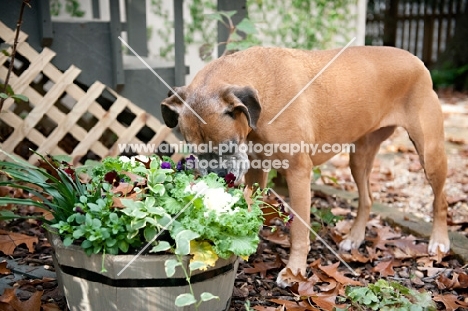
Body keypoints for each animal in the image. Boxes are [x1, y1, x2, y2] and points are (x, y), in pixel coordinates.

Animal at [160, 46, 450, 288]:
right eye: (195, 152)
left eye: (229, 145)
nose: (220, 177)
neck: (263, 88)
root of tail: (416, 60)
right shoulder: (256, 170)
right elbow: (252, 209)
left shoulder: (298, 174)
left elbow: (299, 231)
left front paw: (294, 271)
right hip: (360, 157)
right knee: (367, 197)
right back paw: (355, 237)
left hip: (430, 154)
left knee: (441, 200)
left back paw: (439, 241)